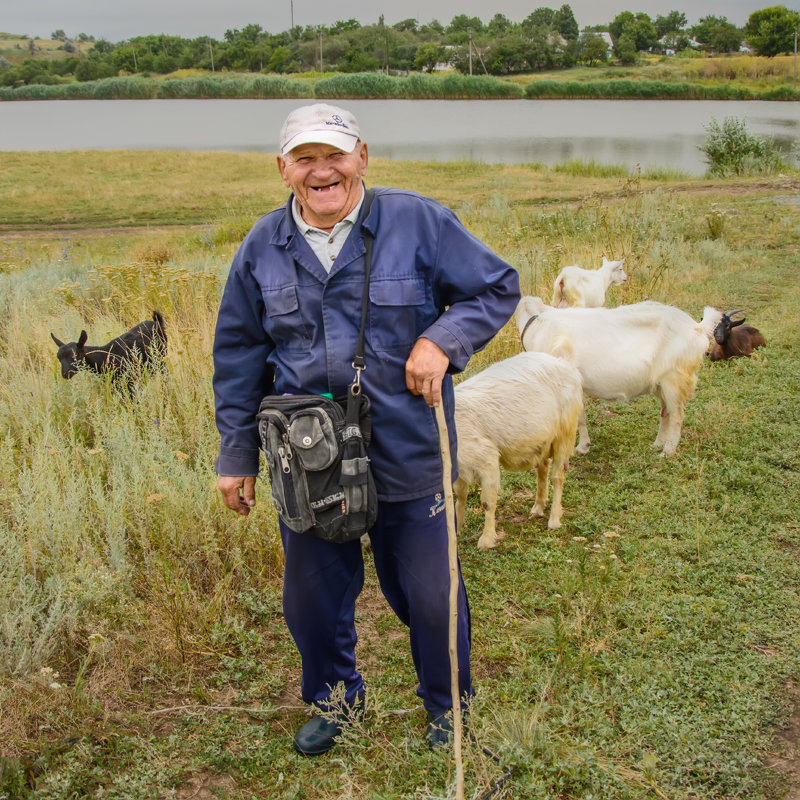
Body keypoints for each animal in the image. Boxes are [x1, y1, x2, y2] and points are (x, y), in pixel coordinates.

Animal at [454, 350, 584, 552]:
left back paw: (554, 519)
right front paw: (457, 529)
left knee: (558, 476)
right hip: (543, 440)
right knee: (542, 469)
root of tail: (564, 363)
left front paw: (486, 540)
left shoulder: (486, 458)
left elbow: (487, 502)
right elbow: (460, 496)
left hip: (564, 433)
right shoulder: (459, 467)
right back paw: (538, 507)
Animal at [516, 296, 720, 460]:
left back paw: (667, 451)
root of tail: (698, 328)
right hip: (660, 383)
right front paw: (583, 446)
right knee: (666, 412)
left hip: (675, 378)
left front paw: (576, 448)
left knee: (677, 415)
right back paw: (657, 444)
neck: (538, 323)